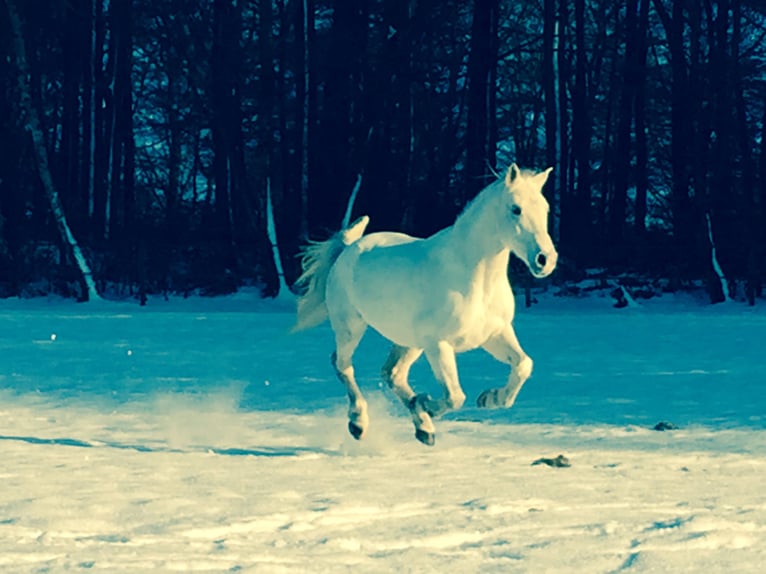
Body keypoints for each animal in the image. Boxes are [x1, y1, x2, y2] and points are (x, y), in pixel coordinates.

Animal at [294, 164, 560, 448]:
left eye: (545, 208)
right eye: (516, 209)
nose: (545, 260)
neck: (473, 279)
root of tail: (347, 250)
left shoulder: (494, 334)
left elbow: (523, 365)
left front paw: (490, 398)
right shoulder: (439, 345)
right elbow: (455, 396)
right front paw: (427, 403)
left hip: (408, 342)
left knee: (392, 374)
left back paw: (423, 428)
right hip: (351, 327)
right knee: (343, 365)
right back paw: (359, 424)